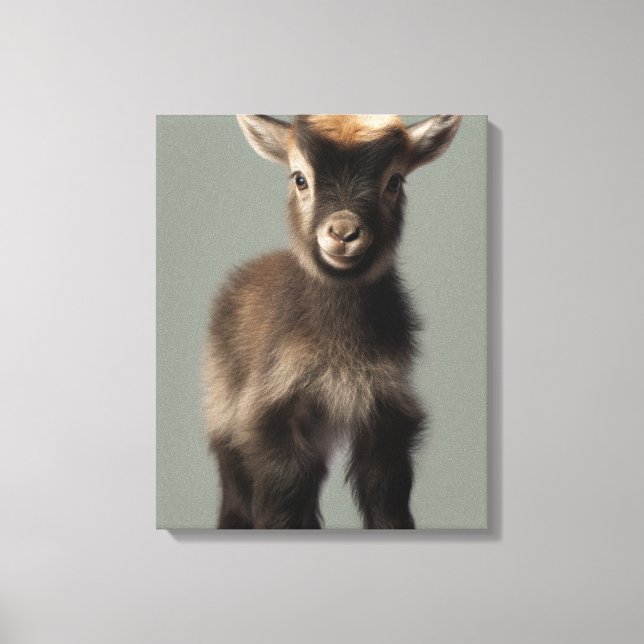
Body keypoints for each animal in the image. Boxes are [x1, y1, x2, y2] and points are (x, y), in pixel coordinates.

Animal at [202, 114, 462, 529]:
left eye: (395, 180)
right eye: (300, 178)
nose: (343, 232)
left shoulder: (386, 408)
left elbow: (386, 490)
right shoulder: (270, 410)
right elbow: (285, 488)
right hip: (222, 405)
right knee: (235, 486)